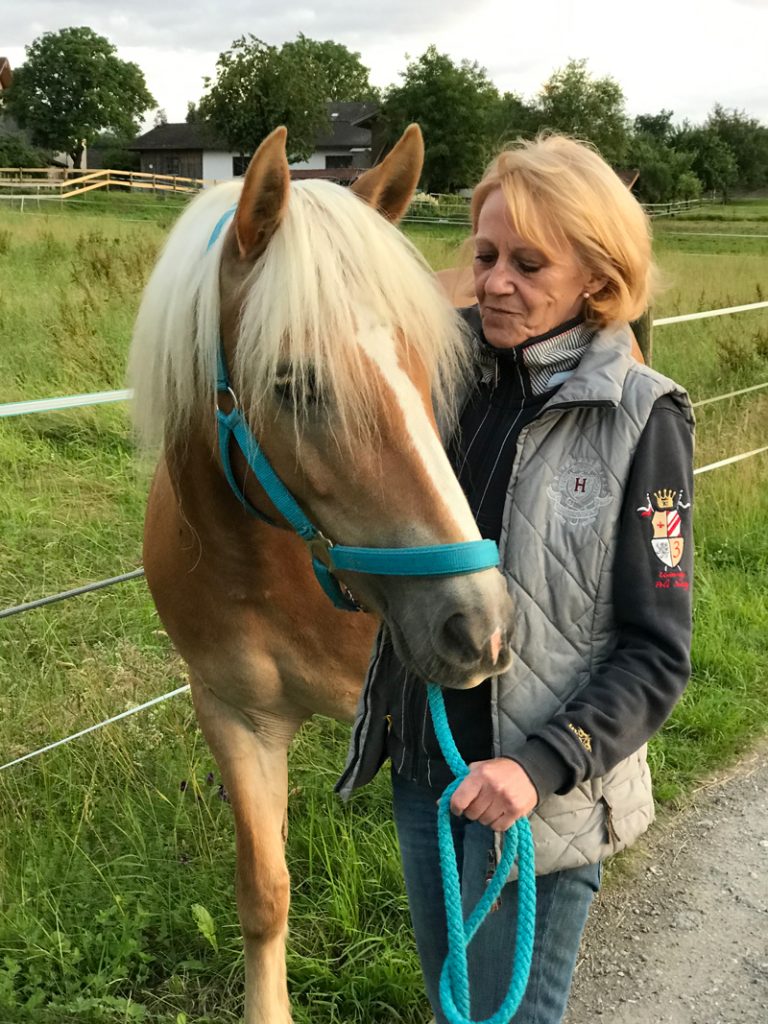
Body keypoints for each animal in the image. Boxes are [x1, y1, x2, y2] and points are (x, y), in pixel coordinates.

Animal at [128, 124, 515, 1024]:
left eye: (431, 372)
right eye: (295, 384)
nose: (478, 624)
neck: (266, 571)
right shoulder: (234, 715)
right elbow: (264, 892)